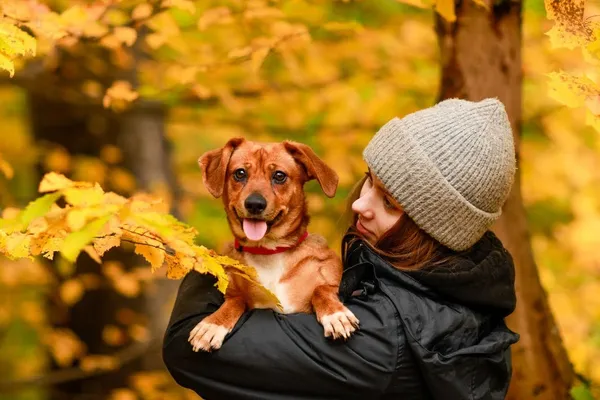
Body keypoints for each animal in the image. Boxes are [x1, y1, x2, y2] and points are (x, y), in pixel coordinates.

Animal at [189, 139, 356, 352]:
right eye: (240, 173)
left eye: (279, 175)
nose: (254, 204)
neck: (269, 251)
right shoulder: (234, 290)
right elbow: (236, 300)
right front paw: (213, 324)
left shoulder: (329, 278)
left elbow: (322, 290)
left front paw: (335, 314)